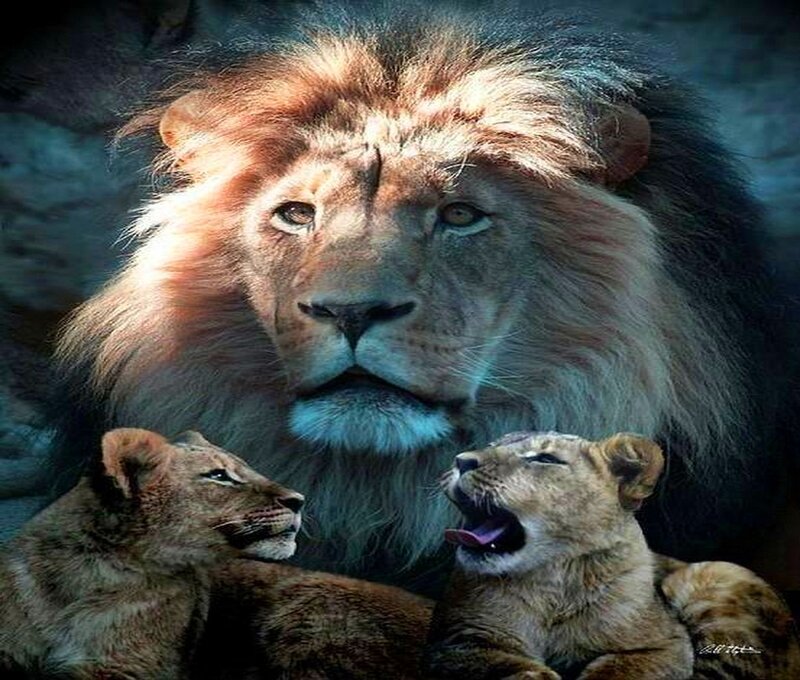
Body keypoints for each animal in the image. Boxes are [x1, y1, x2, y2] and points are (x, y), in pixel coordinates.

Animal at [424, 431, 800, 680]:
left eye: (544, 459)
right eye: (491, 445)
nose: (461, 460)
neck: (554, 581)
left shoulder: (662, 645)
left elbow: (618, 670)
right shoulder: (464, 639)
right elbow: (514, 669)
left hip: (715, 574)